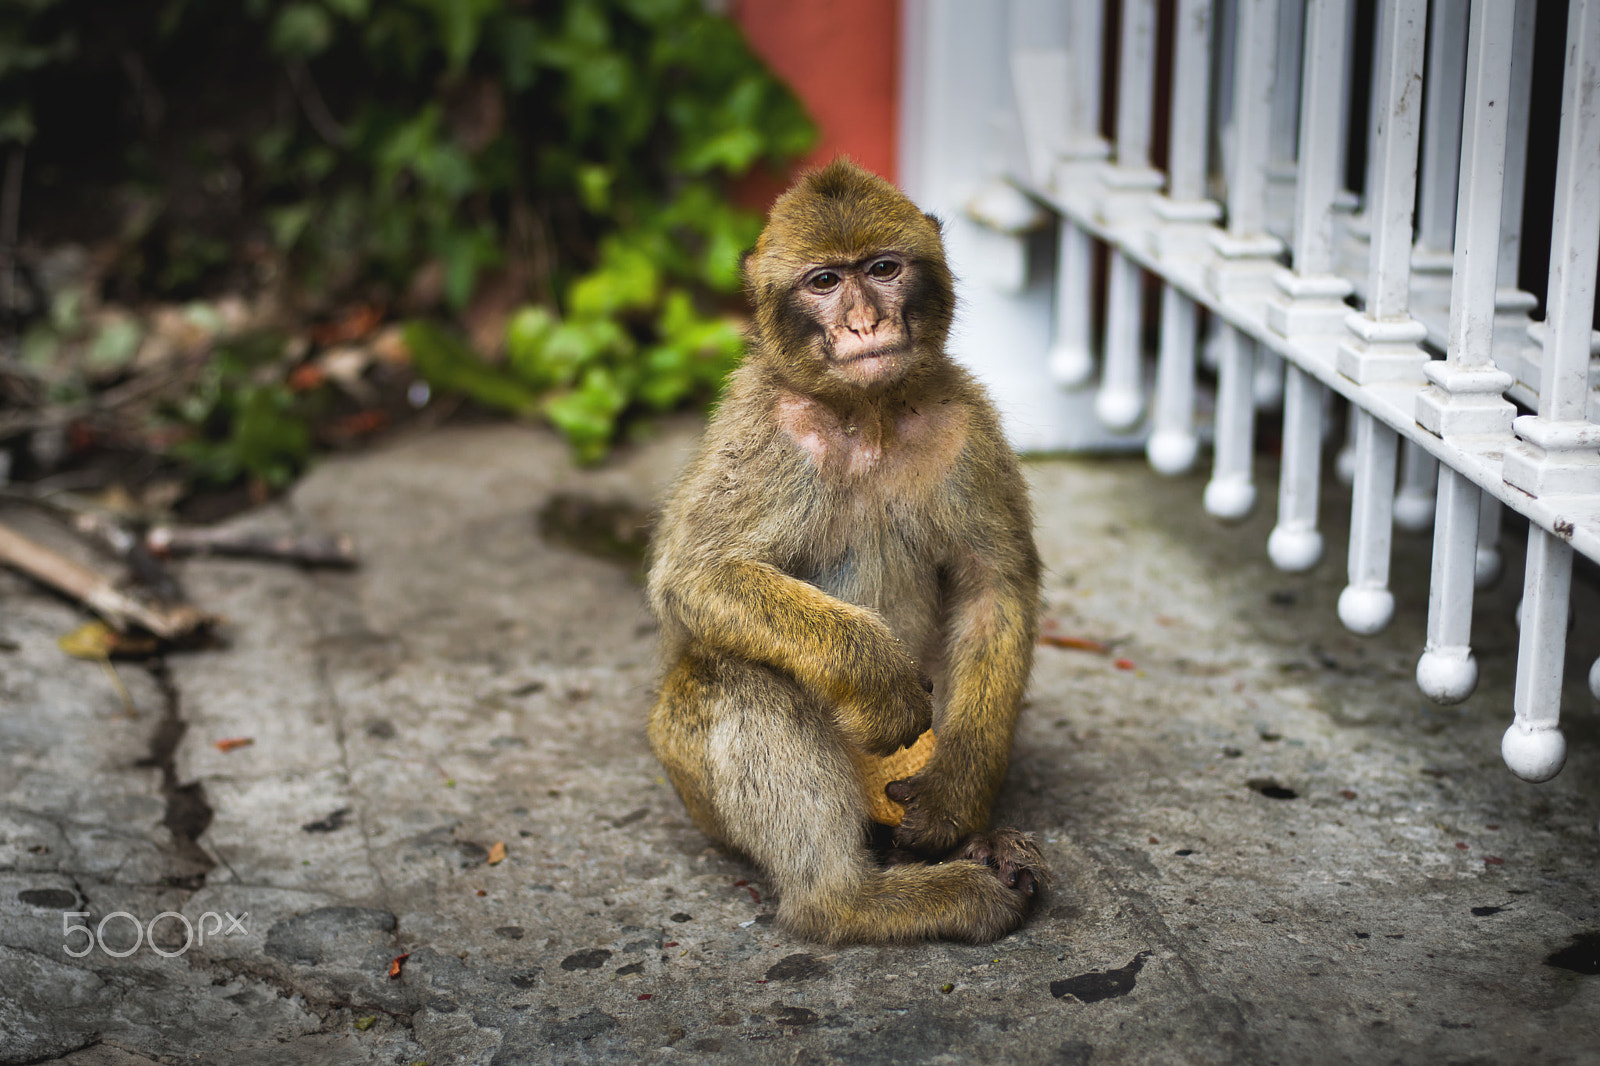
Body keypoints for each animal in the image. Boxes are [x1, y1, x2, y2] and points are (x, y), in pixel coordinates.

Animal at [643, 157, 1043, 941]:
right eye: (824, 281)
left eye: (883, 268)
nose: (865, 322)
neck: (871, 413)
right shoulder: (763, 428)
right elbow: (695, 576)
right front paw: (875, 674)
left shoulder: (966, 425)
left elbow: (994, 586)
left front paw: (956, 793)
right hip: (693, 785)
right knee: (734, 672)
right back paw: (850, 900)